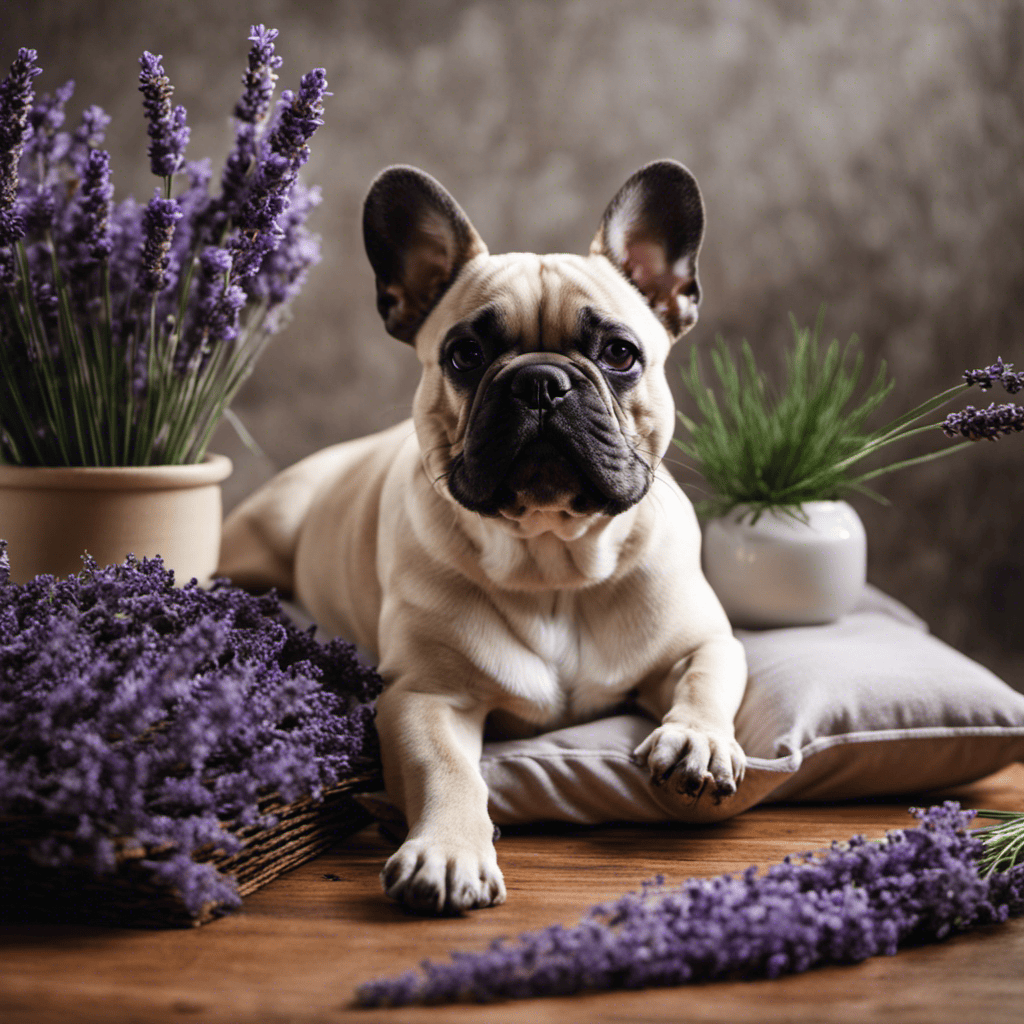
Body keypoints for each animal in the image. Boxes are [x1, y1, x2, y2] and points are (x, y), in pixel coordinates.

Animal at [218, 163, 745, 917]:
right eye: (465, 354)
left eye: (620, 354)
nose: (541, 381)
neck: (555, 563)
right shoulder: (425, 698)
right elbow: (449, 770)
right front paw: (447, 851)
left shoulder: (703, 641)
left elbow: (707, 677)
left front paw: (697, 741)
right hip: (267, 532)